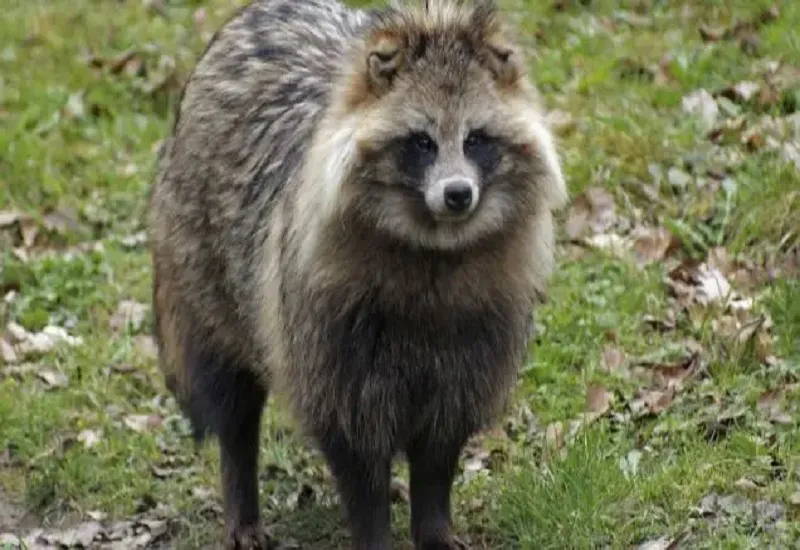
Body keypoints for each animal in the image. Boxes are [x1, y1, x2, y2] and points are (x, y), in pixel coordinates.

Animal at [148, 0, 567, 548]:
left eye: (476, 139)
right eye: (421, 142)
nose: (458, 194)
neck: (434, 245)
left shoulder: (477, 335)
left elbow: (440, 446)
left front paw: (433, 522)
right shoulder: (328, 332)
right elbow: (354, 446)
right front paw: (373, 527)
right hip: (203, 269)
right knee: (232, 399)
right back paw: (240, 492)